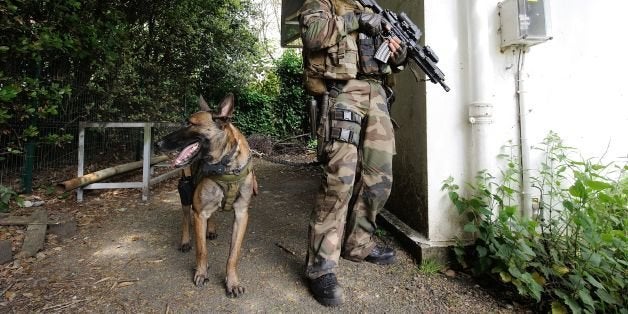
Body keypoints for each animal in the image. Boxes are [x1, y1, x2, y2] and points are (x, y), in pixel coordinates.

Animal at [156, 93, 256, 296]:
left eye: (190, 123)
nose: (157, 143)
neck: (226, 164)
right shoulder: (199, 213)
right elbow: (202, 250)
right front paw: (201, 273)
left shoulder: (241, 215)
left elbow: (233, 255)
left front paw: (232, 281)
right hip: (186, 192)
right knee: (185, 217)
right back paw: (186, 241)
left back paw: (211, 229)